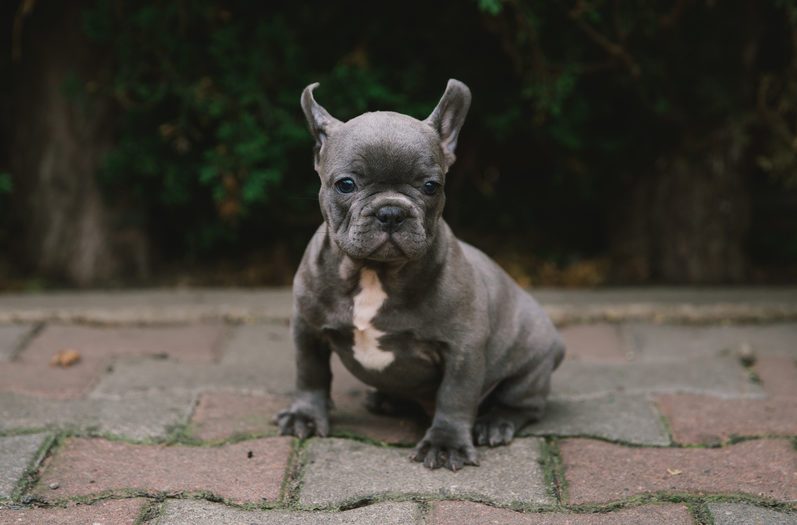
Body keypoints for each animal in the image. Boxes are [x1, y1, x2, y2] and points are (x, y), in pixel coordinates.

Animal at [276, 79, 564, 470]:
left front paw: (446, 443)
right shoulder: (306, 329)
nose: (391, 212)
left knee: (523, 404)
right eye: (346, 184)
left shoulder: (462, 348)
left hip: (531, 363)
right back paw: (386, 399)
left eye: (431, 186)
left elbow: (455, 396)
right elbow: (310, 373)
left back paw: (495, 423)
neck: (374, 273)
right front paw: (304, 416)